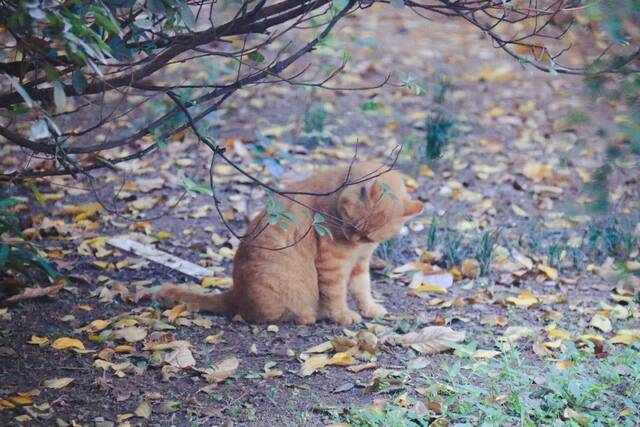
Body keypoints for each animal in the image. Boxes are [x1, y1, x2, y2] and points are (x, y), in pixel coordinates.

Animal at [154, 162, 422, 326]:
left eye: (368, 237)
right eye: (353, 226)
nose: (353, 238)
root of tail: (236, 292)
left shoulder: (360, 262)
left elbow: (362, 288)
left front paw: (371, 309)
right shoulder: (332, 264)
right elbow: (337, 294)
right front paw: (342, 316)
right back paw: (308, 316)